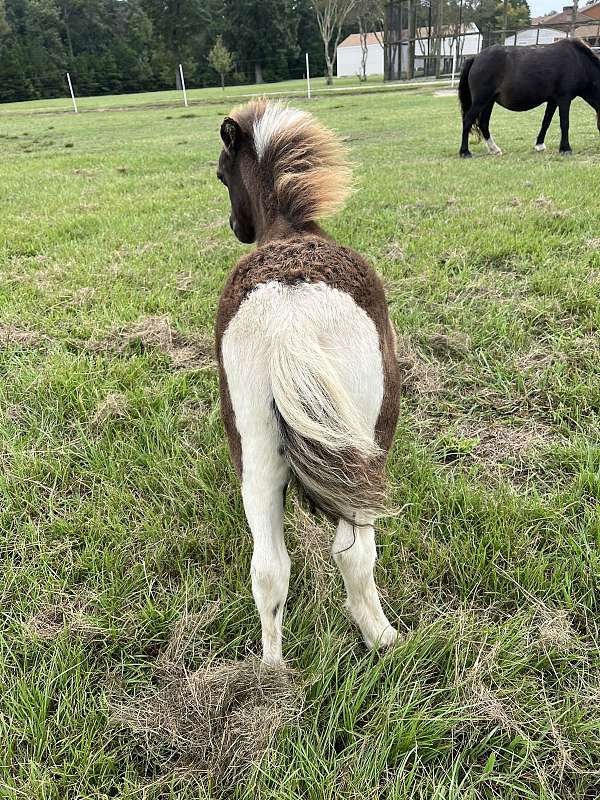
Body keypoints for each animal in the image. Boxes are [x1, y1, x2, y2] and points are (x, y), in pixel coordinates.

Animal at [213, 100, 400, 664]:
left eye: (221, 175)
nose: (236, 226)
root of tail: (287, 322)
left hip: (254, 452)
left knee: (269, 568)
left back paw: (271, 670)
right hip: (364, 452)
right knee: (354, 554)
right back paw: (382, 638)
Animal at [460, 39, 600, 159]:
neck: (579, 62)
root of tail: (476, 58)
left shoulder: (553, 101)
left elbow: (546, 122)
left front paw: (539, 145)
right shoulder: (564, 99)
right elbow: (565, 123)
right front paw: (565, 149)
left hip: (489, 102)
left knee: (483, 123)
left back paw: (494, 149)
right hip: (481, 101)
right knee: (468, 120)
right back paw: (465, 152)